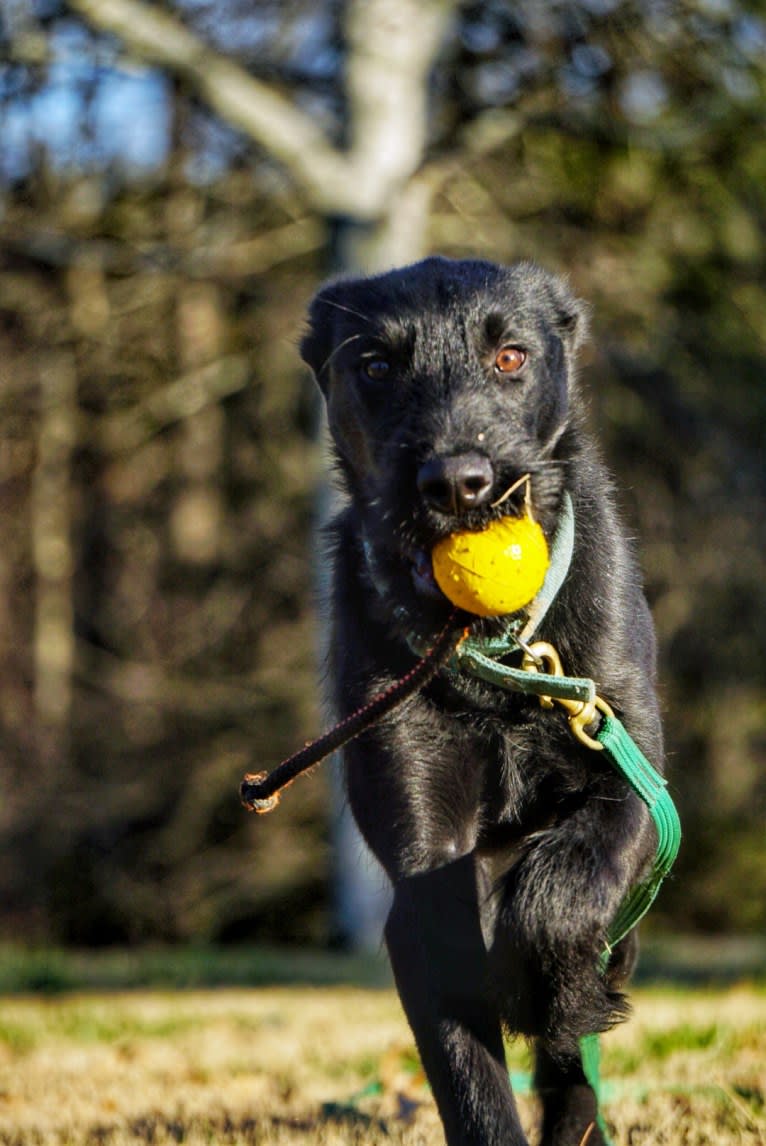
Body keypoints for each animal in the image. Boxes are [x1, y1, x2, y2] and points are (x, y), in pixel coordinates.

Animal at [302, 260, 660, 1146]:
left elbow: (569, 884)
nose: (460, 483)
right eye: (375, 366)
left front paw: (553, 989)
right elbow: (471, 1080)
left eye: (510, 357)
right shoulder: (426, 868)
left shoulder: (630, 769)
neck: (491, 647)